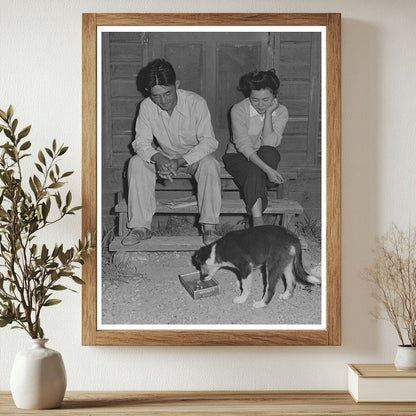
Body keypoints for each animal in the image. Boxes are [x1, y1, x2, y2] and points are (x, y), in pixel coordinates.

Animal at [193, 226, 322, 308]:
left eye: (199, 266)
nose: (201, 279)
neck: (218, 250)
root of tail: (293, 238)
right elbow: (243, 282)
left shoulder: (245, 267)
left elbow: (245, 287)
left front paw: (241, 299)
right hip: (286, 265)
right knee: (292, 283)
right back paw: (285, 296)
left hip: (272, 267)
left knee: (270, 289)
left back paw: (261, 304)